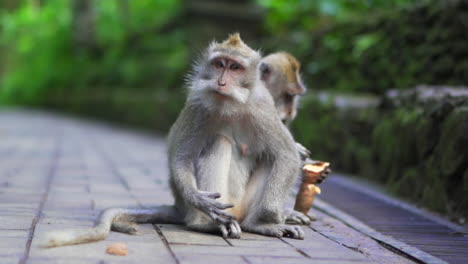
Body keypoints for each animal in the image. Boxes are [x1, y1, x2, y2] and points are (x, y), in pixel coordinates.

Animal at [42, 33, 306, 248]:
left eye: (235, 67)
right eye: (219, 64)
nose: (221, 82)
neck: (231, 105)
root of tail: (180, 208)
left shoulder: (263, 108)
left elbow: (286, 156)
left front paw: (268, 222)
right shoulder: (197, 105)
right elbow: (182, 157)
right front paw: (199, 199)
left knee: (268, 157)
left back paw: (255, 224)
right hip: (221, 205)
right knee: (219, 142)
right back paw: (205, 223)